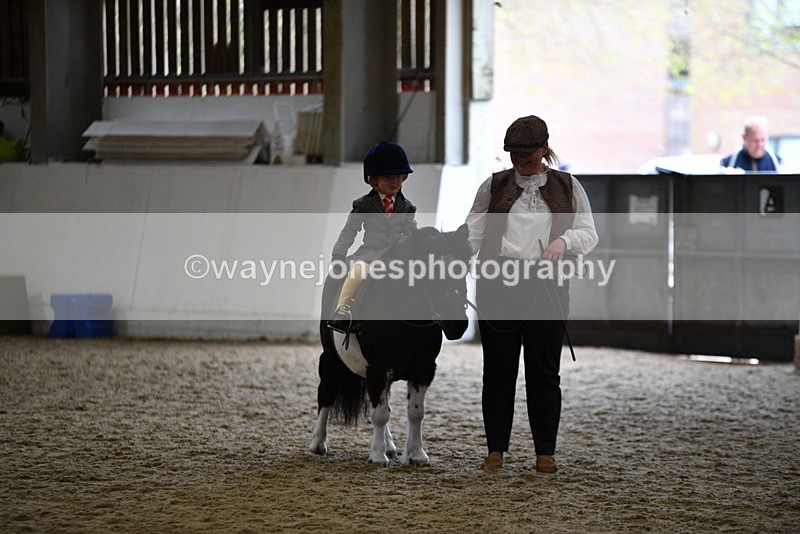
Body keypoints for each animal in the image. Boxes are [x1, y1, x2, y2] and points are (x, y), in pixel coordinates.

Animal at [309, 223, 472, 466]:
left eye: (464, 270)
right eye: (430, 271)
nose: (457, 324)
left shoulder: (423, 370)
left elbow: (414, 413)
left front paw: (416, 454)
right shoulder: (377, 367)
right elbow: (380, 414)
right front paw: (377, 456)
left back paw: (390, 445)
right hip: (330, 357)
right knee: (327, 393)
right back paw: (318, 443)